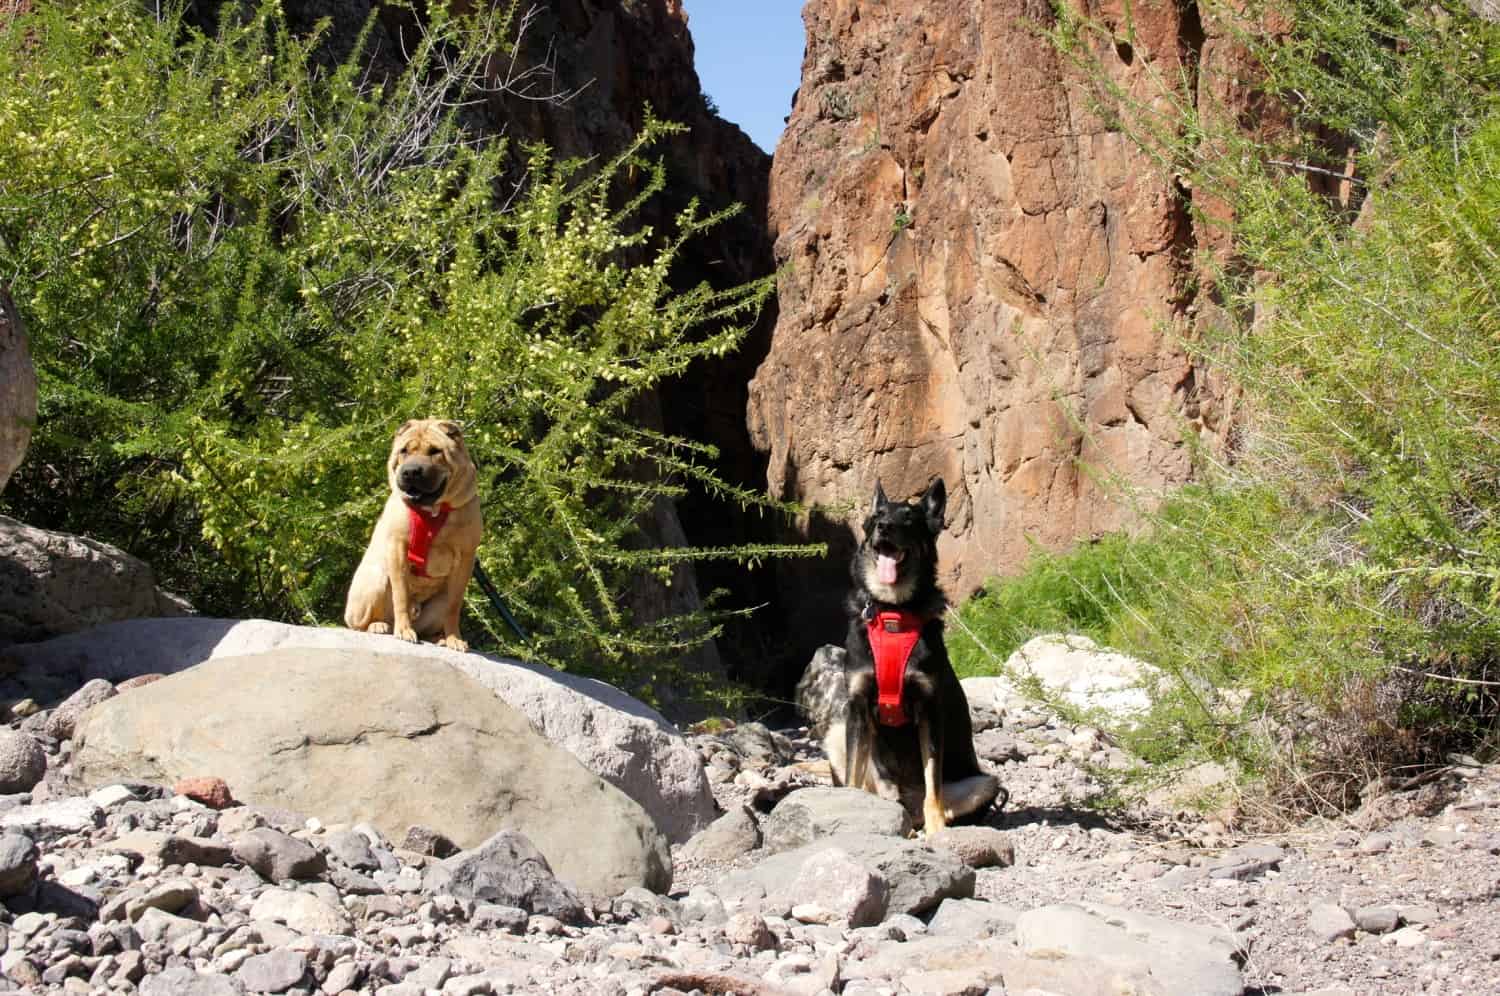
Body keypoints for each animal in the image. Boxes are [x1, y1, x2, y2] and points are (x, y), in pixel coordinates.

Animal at [343, 420, 480, 654]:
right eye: (404, 451)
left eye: (435, 451)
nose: (411, 472)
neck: (433, 511)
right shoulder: (398, 547)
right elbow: (401, 595)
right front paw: (404, 631)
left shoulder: (465, 557)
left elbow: (454, 607)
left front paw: (454, 639)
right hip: (375, 580)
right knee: (358, 625)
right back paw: (378, 625)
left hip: (439, 601)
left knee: (434, 620)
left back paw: (439, 638)